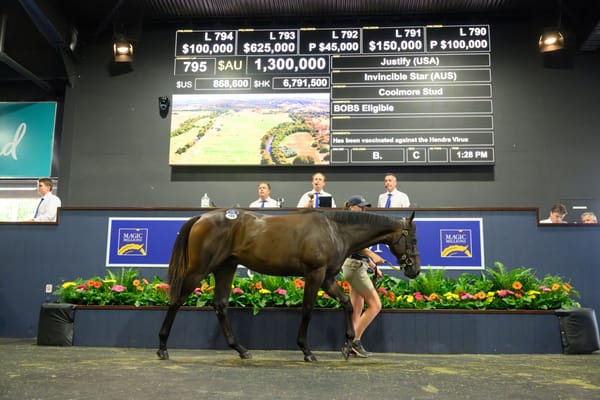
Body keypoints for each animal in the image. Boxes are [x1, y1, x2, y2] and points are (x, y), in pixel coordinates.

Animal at [159, 209, 422, 362]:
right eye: (413, 239)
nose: (415, 270)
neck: (334, 230)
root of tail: (201, 217)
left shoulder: (327, 278)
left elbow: (347, 304)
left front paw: (347, 347)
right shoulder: (315, 274)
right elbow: (307, 310)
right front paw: (307, 351)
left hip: (226, 267)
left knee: (220, 305)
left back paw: (242, 350)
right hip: (199, 269)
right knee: (177, 300)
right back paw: (162, 348)